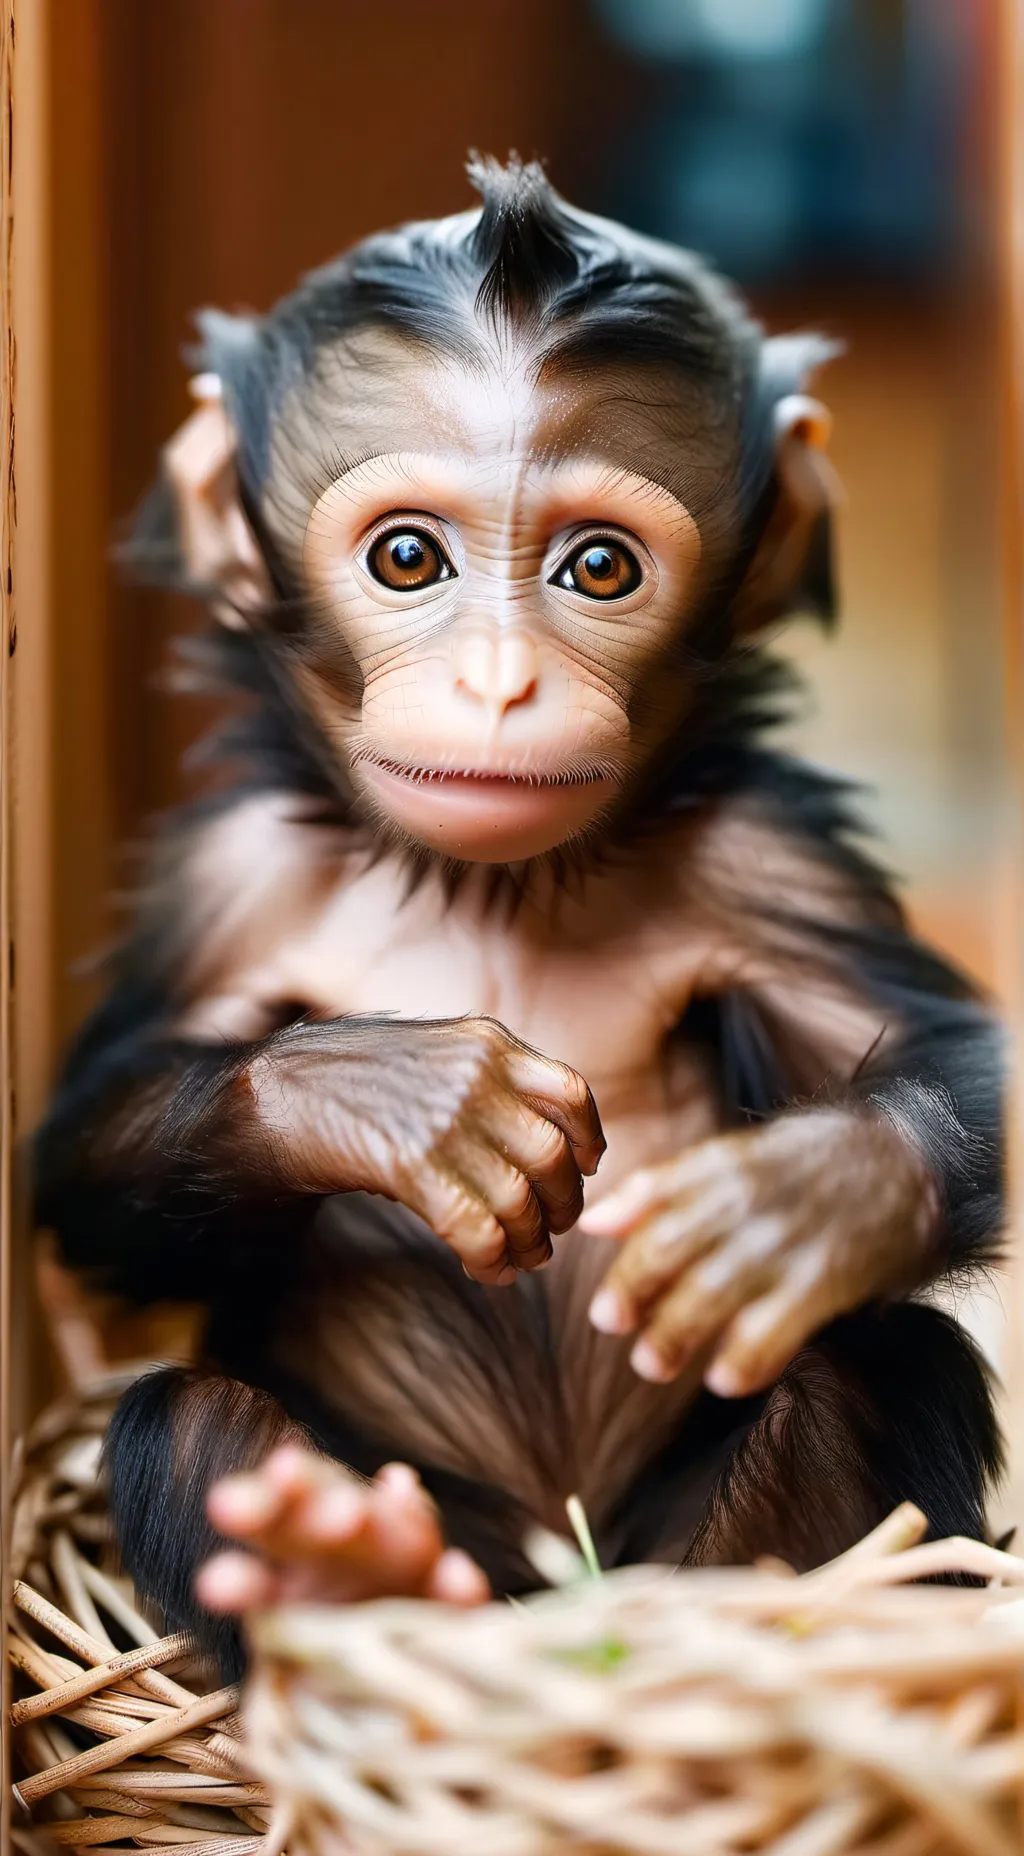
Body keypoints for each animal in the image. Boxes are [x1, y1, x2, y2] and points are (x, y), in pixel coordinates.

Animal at [35, 157, 1004, 1676]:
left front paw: (804, 1199)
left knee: (877, 1362)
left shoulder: (773, 856)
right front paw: (389, 1097)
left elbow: (954, 1049)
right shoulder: (225, 876)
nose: (498, 679)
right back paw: (333, 1569)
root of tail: (551, 1591)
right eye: (408, 559)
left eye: (599, 569)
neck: (490, 879)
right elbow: (84, 1156)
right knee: (190, 1418)